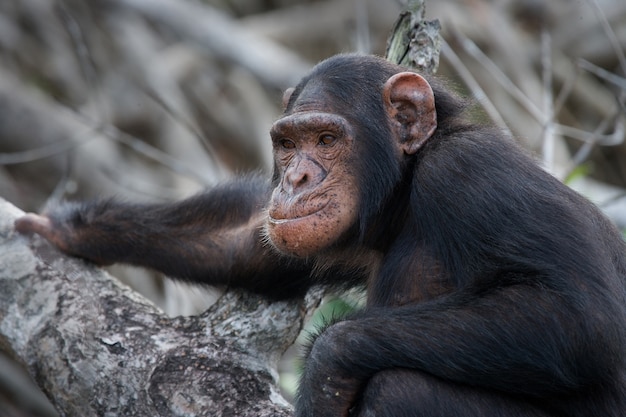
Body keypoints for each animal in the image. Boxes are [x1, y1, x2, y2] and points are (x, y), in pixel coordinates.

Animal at [14, 53, 624, 414]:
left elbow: (581, 317)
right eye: (287, 144)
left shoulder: (475, 176)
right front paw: (75, 228)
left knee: (405, 389)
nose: (296, 178)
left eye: (327, 139)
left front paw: (327, 368)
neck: (406, 189)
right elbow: (249, 246)